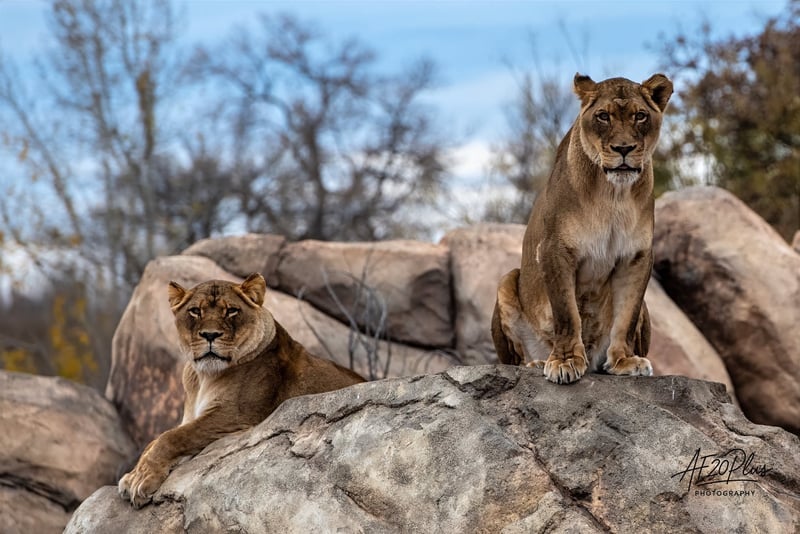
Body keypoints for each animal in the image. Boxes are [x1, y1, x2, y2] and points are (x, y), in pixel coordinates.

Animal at [118, 273, 365, 508]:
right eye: (195, 311)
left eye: (231, 311)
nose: (210, 335)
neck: (202, 377)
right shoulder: (192, 416)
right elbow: (154, 441)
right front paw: (134, 475)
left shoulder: (234, 417)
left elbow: (172, 437)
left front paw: (143, 479)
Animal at [491, 73, 673, 384]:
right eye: (603, 116)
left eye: (640, 116)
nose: (623, 149)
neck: (613, 195)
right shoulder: (555, 249)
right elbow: (567, 313)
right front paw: (564, 361)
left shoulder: (636, 256)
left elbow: (626, 316)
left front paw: (624, 360)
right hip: (507, 280)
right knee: (514, 360)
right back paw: (537, 362)